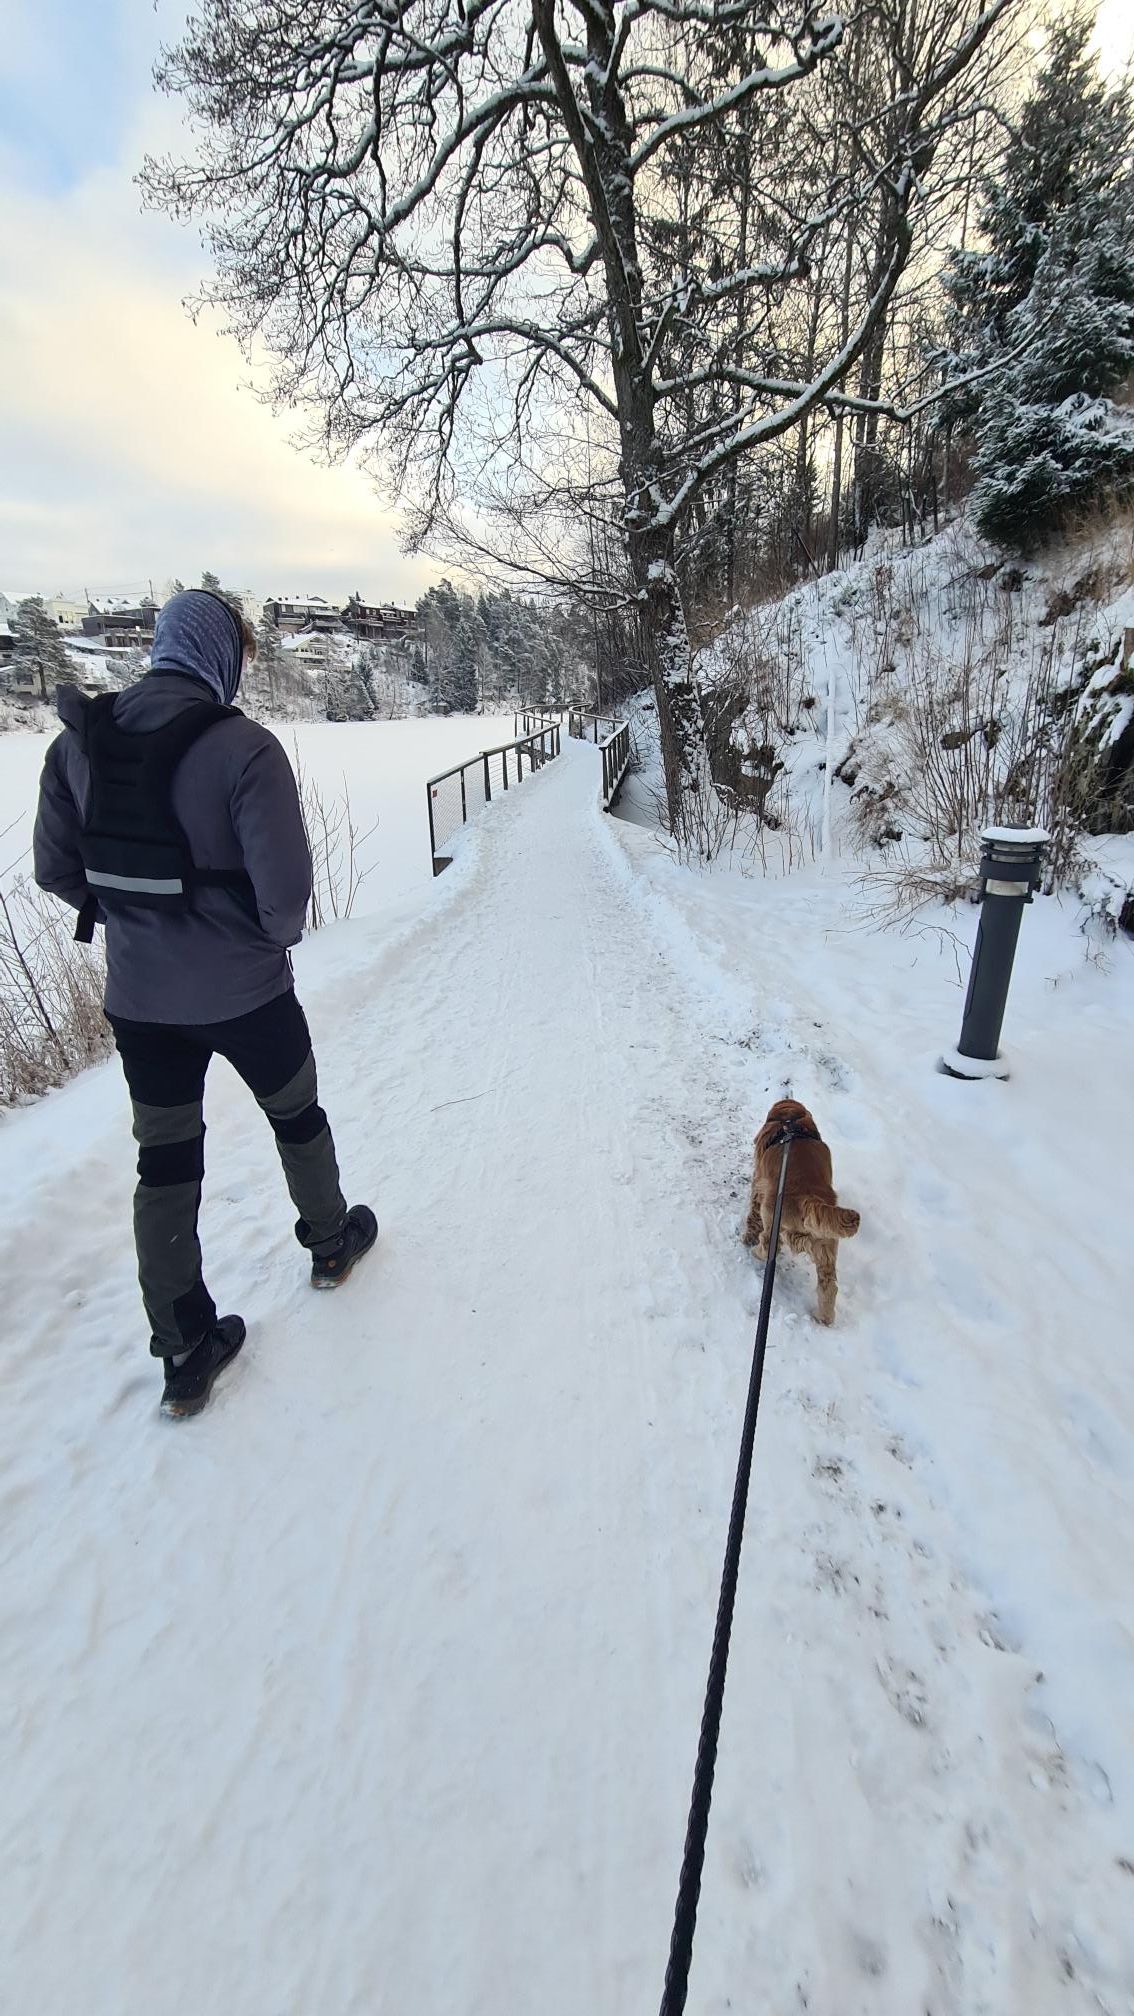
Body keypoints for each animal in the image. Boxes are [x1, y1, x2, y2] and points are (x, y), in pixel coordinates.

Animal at [742, 1098, 860, 1324]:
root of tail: (808, 1198)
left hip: (772, 1217)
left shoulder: (759, 1183)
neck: (791, 1120)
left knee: (769, 1246)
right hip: (826, 1245)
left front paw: (747, 1237)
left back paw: (756, 1252)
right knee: (829, 1285)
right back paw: (823, 1318)